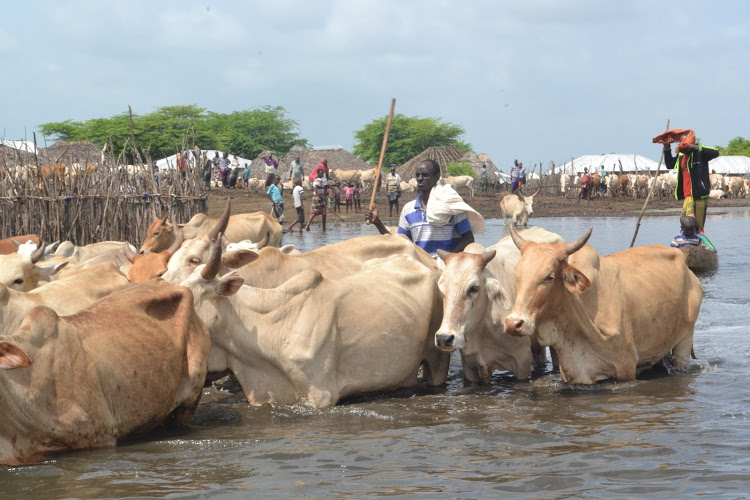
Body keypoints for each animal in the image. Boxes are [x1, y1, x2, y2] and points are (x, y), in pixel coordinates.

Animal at [506, 225, 704, 384]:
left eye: (549, 276)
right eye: (517, 274)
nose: (514, 323)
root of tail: (690, 274)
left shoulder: (626, 367)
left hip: (685, 340)